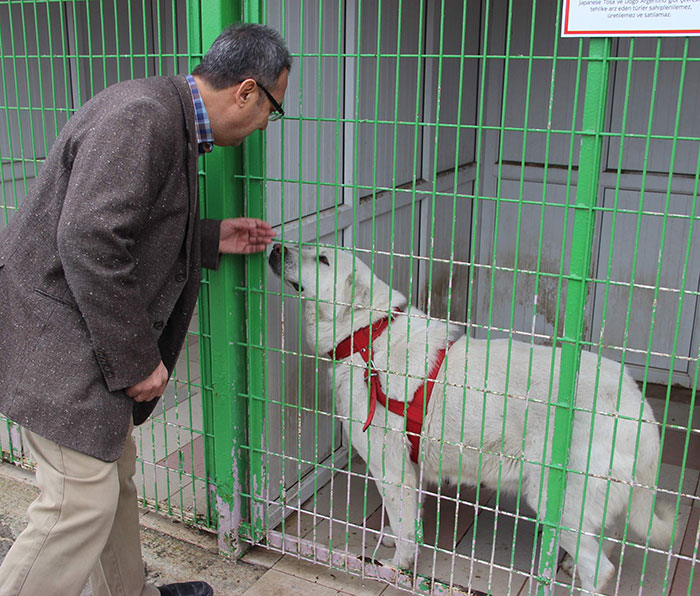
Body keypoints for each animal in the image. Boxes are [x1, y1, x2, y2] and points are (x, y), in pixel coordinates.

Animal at [268, 242, 672, 592]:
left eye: (322, 259)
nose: (275, 246)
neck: (367, 335)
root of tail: (640, 406)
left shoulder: (392, 469)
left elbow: (404, 527)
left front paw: (397, 567)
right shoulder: (410, 471)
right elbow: (404, 521)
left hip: (556, 497)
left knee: (601, 568)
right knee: (605, 540)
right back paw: (570, 564)